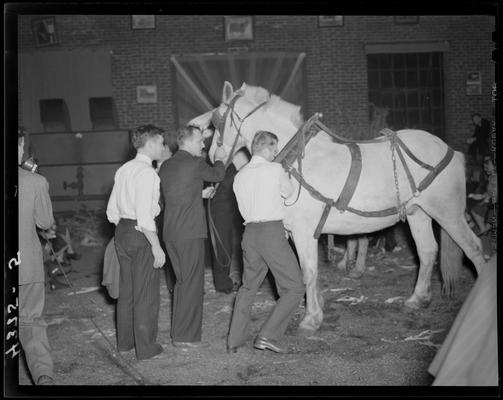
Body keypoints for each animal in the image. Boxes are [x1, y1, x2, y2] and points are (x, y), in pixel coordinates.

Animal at [203, 80, 486, 332]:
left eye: (216, 120)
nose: (212, 157)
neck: (296, 160)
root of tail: (451, 151)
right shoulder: (290, 232)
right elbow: (301, 271)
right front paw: (316, 305)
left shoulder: (304, 231)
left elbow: (307, 271)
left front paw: (311, 318)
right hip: (418, 213)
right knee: (427, 251)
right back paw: (417, 299)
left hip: (448, 214)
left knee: (474, 248)